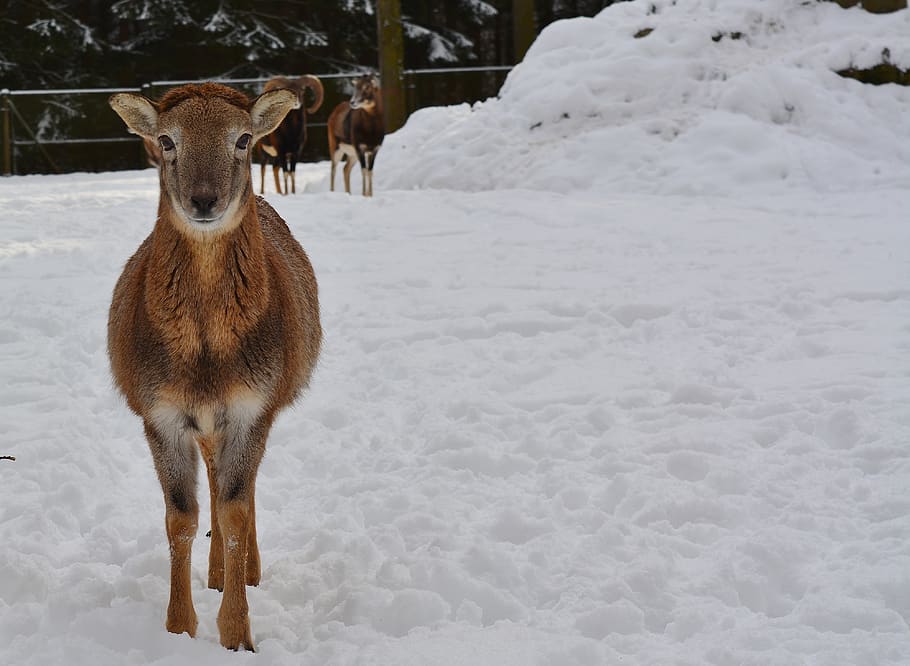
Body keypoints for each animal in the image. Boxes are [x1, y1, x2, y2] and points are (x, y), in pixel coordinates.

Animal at [108, 82, 322, 651]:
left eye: (244, 138)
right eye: (165, 140)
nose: (204, 200)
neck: (205, 360)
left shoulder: (254, 406)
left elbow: (235, 510)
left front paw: (238, 634)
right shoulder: (159, 412)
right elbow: (181, 517)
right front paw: (179, 626)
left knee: (242, 490)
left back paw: (245, 570)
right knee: (211, 472)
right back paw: (217, 573)